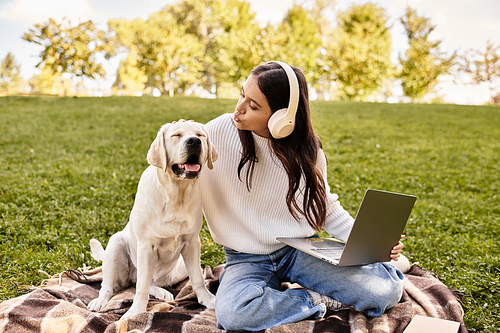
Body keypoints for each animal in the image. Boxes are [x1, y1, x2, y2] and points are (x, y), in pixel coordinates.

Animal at [88, 120, 217, 320]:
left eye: (200, 135)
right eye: (176, 135)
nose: (194, 142)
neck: (175, 197)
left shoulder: (192, 243)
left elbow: (198, 278)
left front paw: (208, 299)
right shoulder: (146, 246)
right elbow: (141, 287)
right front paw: (136, 312)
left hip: (180, 268)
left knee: (149, 282)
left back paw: (161, 292)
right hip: (116, 244)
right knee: (115, 284)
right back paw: (100, 301)